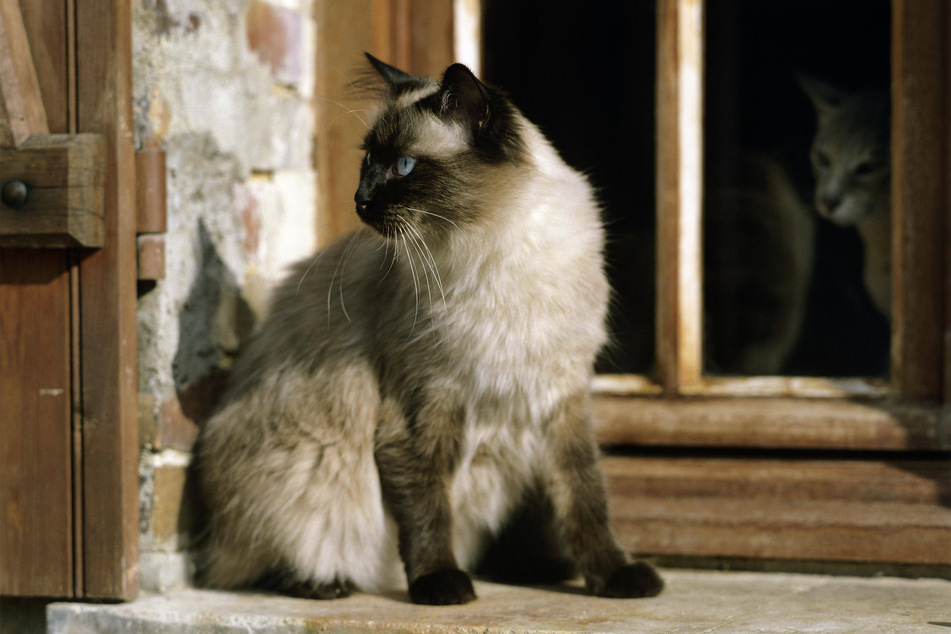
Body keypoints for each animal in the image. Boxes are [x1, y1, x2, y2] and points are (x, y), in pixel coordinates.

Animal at [195, 53, 660, 604]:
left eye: (403, 166)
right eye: (368, 161)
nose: (359, 199)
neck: (493, 258)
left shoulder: (559, 399)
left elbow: (586, 500)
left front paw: (617, 577)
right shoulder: (423, 405)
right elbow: (426, 509)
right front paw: (441, 586)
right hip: (307, 466)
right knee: (261, 561)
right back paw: (326, 583)